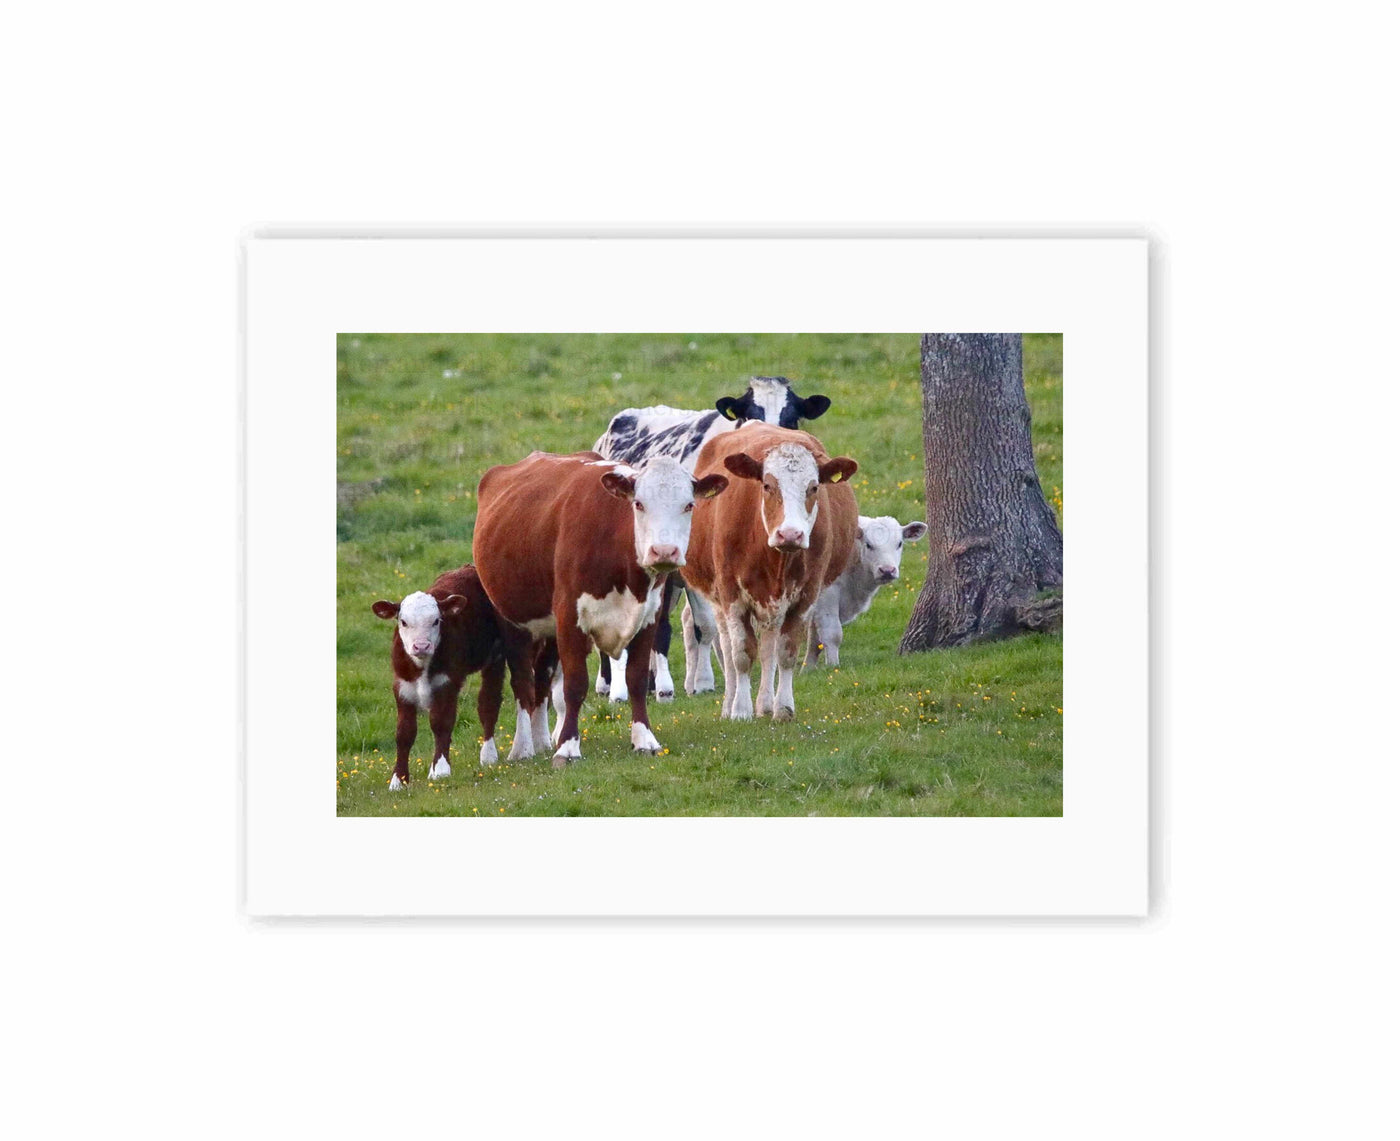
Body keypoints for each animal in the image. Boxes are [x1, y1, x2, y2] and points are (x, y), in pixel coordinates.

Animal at [370, 564, 508, 790]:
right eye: (403, 622)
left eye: (436, 621)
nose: (421, 646)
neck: (422, 667)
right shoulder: (402, 686)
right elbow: (404, 733)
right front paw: (398, 780)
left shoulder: (447, 682)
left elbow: (441, 722)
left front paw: (441, 770)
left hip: (496, 657)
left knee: (489, 703)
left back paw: (488, 755)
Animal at [472, 451, 728, 765]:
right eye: (638, 504)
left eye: (688, 505)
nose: (664, 551)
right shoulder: (570, 619)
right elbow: (574, 685)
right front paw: (568, 748)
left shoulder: (648, 618)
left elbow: (636, 679)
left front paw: (644, 739)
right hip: (513, 620)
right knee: (523, 682)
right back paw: (523, 747)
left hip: (548, 628)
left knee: (542, 678)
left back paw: (542, 740)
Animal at [590, 376, 832, 703]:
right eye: (749, 414)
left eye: (791, 418)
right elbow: (679, 625)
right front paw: (680, 685)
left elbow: (709, 626)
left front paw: (702, 681)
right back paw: (610, 683)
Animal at [680, 425, 859, 721]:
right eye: (767, 485)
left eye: (813, 487)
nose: (790, 534)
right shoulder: (732, 596)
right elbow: (741, 654)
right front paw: (740, 709)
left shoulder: (805, 597)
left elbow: (785, 653)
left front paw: (783, 708)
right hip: (716, 598)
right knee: (727, 648)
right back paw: (730, 704)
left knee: (768, 649)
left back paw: (764, 703)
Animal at [803, 516, 928, 666]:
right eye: (868, 545)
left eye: (899, 544)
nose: (887, 570)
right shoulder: (826, 594)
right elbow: (832, 634)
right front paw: (833, 667)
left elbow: (815, 642)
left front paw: (808, 669)